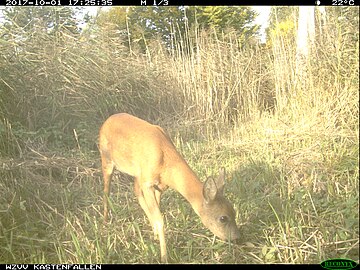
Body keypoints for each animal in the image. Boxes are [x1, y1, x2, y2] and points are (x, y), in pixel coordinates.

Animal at [99, 113, 239, 262]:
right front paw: (164, 257)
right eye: (223, 218)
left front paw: (156, 237)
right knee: (106, 191)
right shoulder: (148, 183)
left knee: (136, 192)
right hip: (106, 160)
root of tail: (108, 120)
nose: (237, 238)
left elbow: (156, 212)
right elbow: (159, 219)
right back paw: (105, 222)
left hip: (137, 174)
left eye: (234, 211)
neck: (165, 160)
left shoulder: (159, 186)